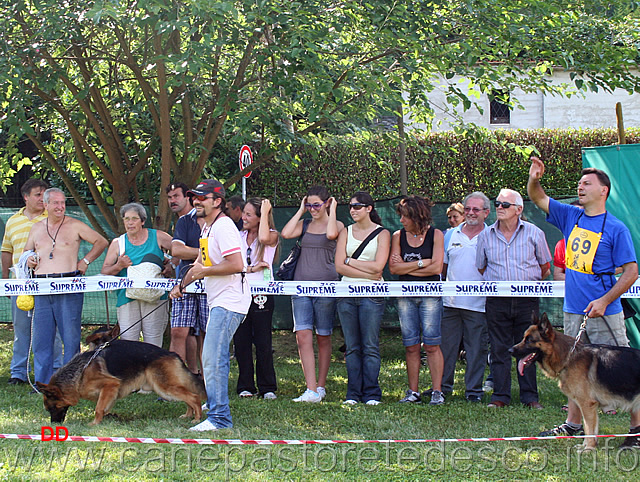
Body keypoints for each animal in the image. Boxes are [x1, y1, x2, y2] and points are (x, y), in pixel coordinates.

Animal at [36, 338, 206, 426]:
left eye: (52, 408)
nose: (54, 424)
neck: (81, 372)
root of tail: (173, 353)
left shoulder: (110, 385)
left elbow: (98, 408)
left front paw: (94, 424)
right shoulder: (109, 393)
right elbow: (104, 407)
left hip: (163, 387)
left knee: (193, 397)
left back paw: (197, 418)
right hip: (166, 388)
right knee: (188, 397)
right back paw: (188, 415)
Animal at [512, 314, 640, 450]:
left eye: (529, 340)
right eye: (523, 338)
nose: (510, 350)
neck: (569, 357)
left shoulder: (587, 404)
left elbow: (589, 429)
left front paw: (588, 449)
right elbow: (590, 428)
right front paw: (586, 446)